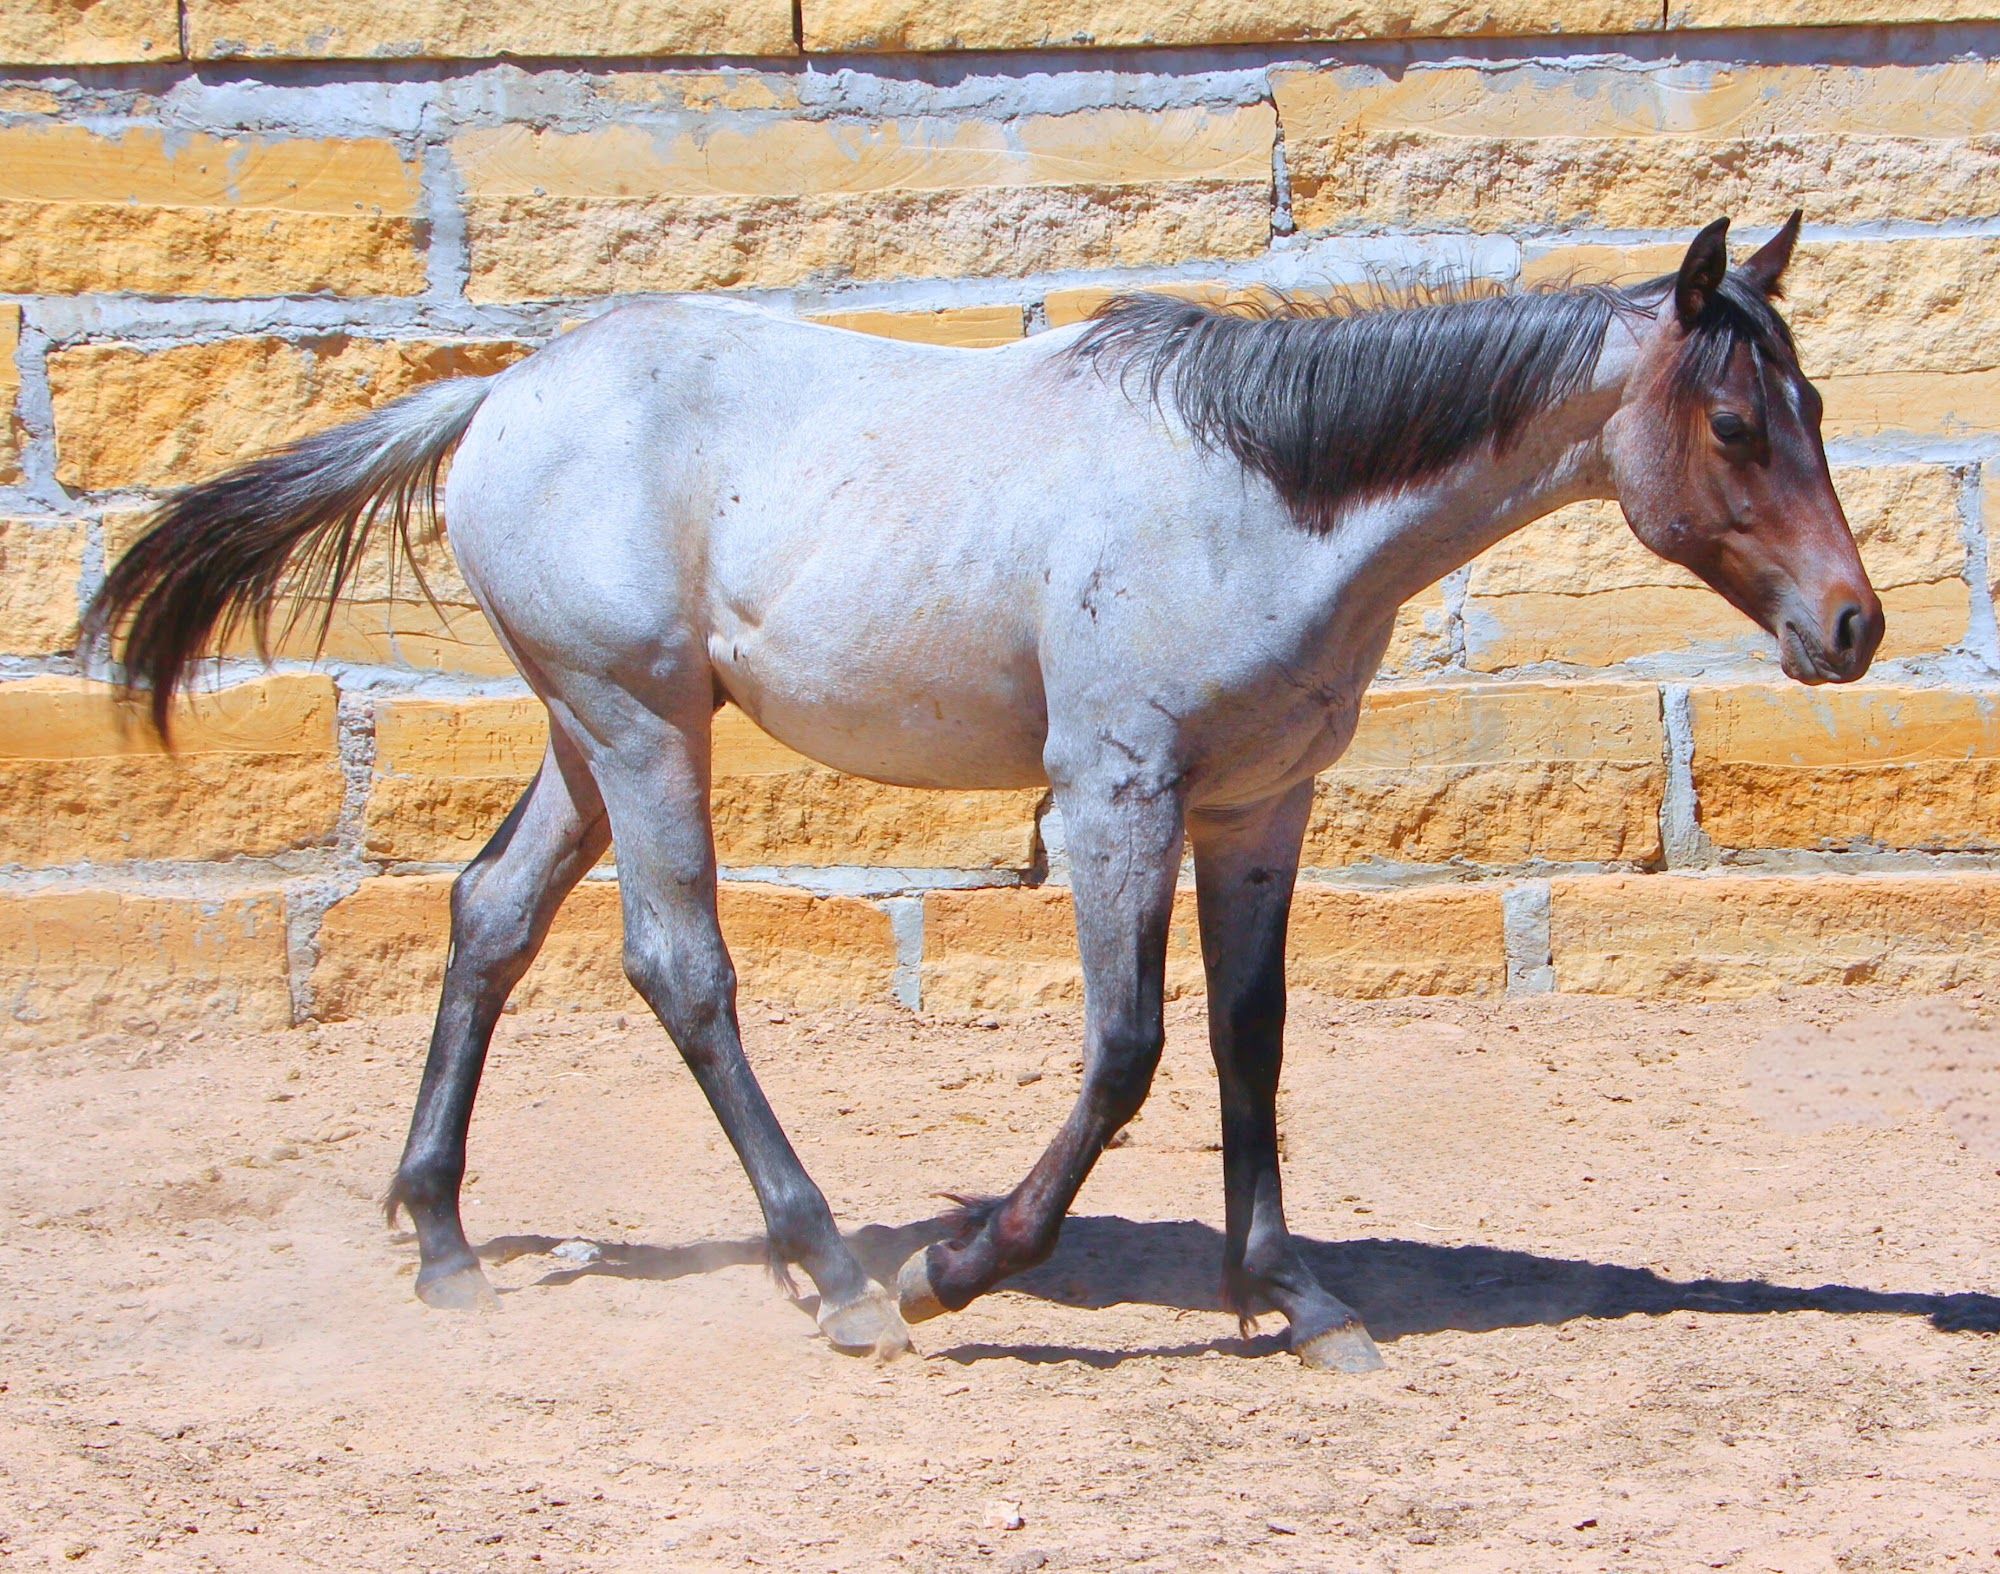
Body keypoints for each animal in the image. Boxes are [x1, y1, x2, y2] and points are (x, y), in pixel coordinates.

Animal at [86, 212, 1882, 1373]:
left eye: (1815, 406)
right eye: (1736, 421)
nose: (1852, 625)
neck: (1252, 491)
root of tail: (499, 394)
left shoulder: (1258, 805)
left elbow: (1250, 1041)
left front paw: (1291, 1298)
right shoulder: (1114, 792)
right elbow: (1126, 1047)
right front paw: (959, 1270)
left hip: (593, 733)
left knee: (490, 915)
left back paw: (448, 1242)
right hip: (643, 727)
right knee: (681, 968)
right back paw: (836, 1273)